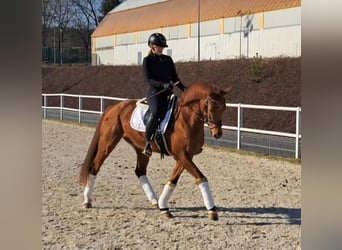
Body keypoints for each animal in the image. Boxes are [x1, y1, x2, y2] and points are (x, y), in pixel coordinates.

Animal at [79, 83, 231, 220]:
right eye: (213, 106)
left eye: (224, 107)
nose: (218, 134)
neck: (186, 119)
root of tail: (114, 107)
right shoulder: (182, 155)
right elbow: (201, 177)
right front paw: (212, 210)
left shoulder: (186, 156)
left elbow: (173, 180)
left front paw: (164, 207)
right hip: (108, 143)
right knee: (94, 166)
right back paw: (87, 200)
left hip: (141, 148)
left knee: (140, 171)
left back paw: (155, 201)